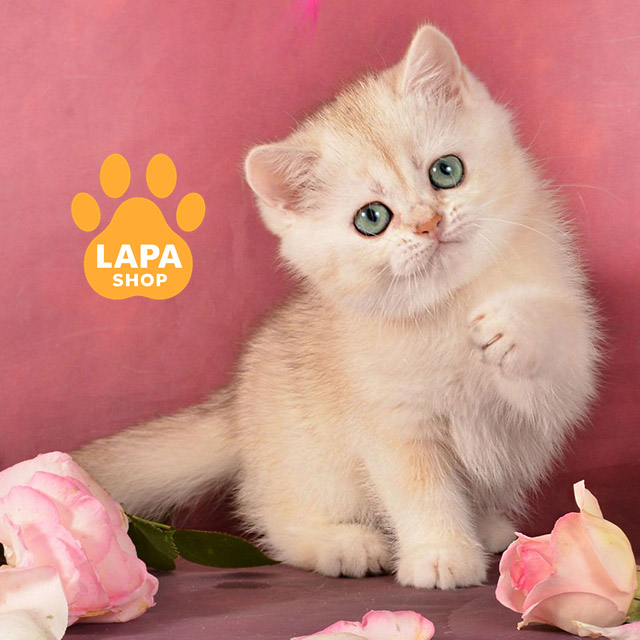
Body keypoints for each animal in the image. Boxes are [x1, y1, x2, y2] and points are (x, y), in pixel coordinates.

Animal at [73, 25, 599, 589]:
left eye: (446, 171)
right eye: (372, 218)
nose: (428, 223)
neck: (448, 303)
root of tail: (235, 408)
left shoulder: (555, 391)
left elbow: (555, 341)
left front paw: (512, 329)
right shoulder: (393, 424)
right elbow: (420, 492)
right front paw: (439, 553)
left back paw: (488, 527)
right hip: (305, 464)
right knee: (272, 519)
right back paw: (343, 544)